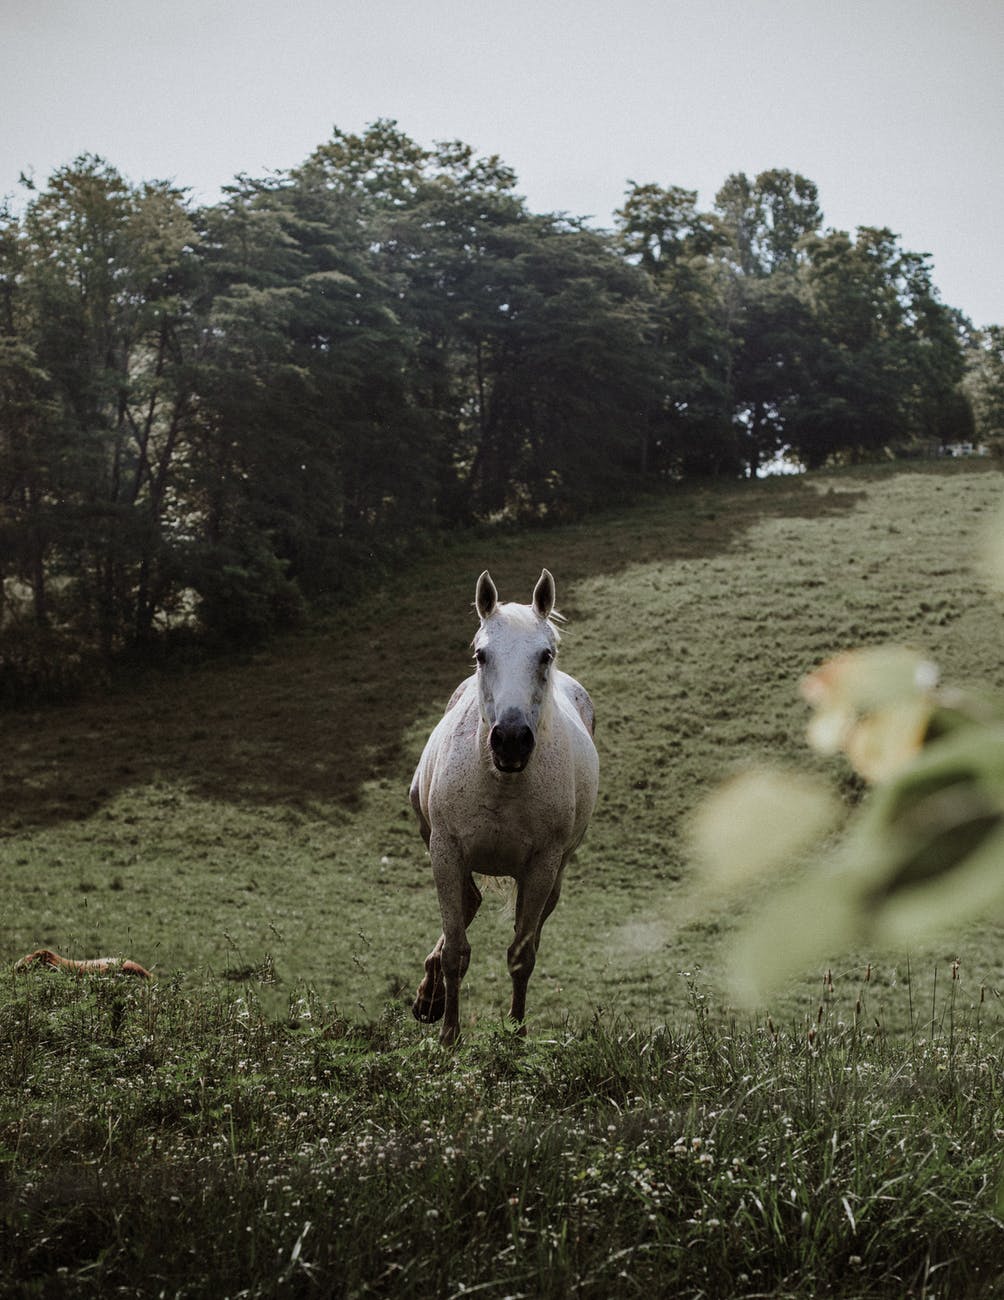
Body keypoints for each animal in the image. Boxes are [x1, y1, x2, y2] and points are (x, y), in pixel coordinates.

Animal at [410, 568, 599, 1045]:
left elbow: (521, 955)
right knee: (467, 905)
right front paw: (449, 1036)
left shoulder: (541, 867)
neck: (502, 783)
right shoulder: (446, 850)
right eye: (481, 655)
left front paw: (515, 1034)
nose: (511, 740)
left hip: (555, 874)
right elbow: (457, 950)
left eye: (545, 655)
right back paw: (430, 998)